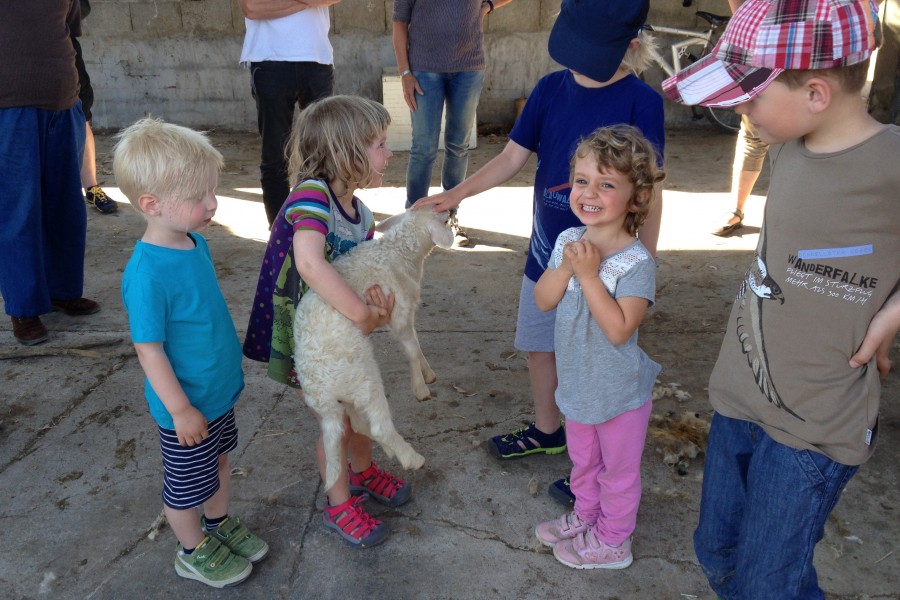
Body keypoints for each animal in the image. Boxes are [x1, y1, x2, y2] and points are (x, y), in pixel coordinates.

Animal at [293, 208, 453, 490]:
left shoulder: (405, 314)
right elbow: (411, 348)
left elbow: (416, 344)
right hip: (365, 377)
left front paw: (428, 373)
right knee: (379, 426)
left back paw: (390, 450)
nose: (451, 210)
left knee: (357, 427)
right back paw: (412, 458)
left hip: (347, 396)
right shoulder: (399, 312)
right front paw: (420, 388)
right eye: (441, 216)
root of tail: (321, 392)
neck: (398, 251)